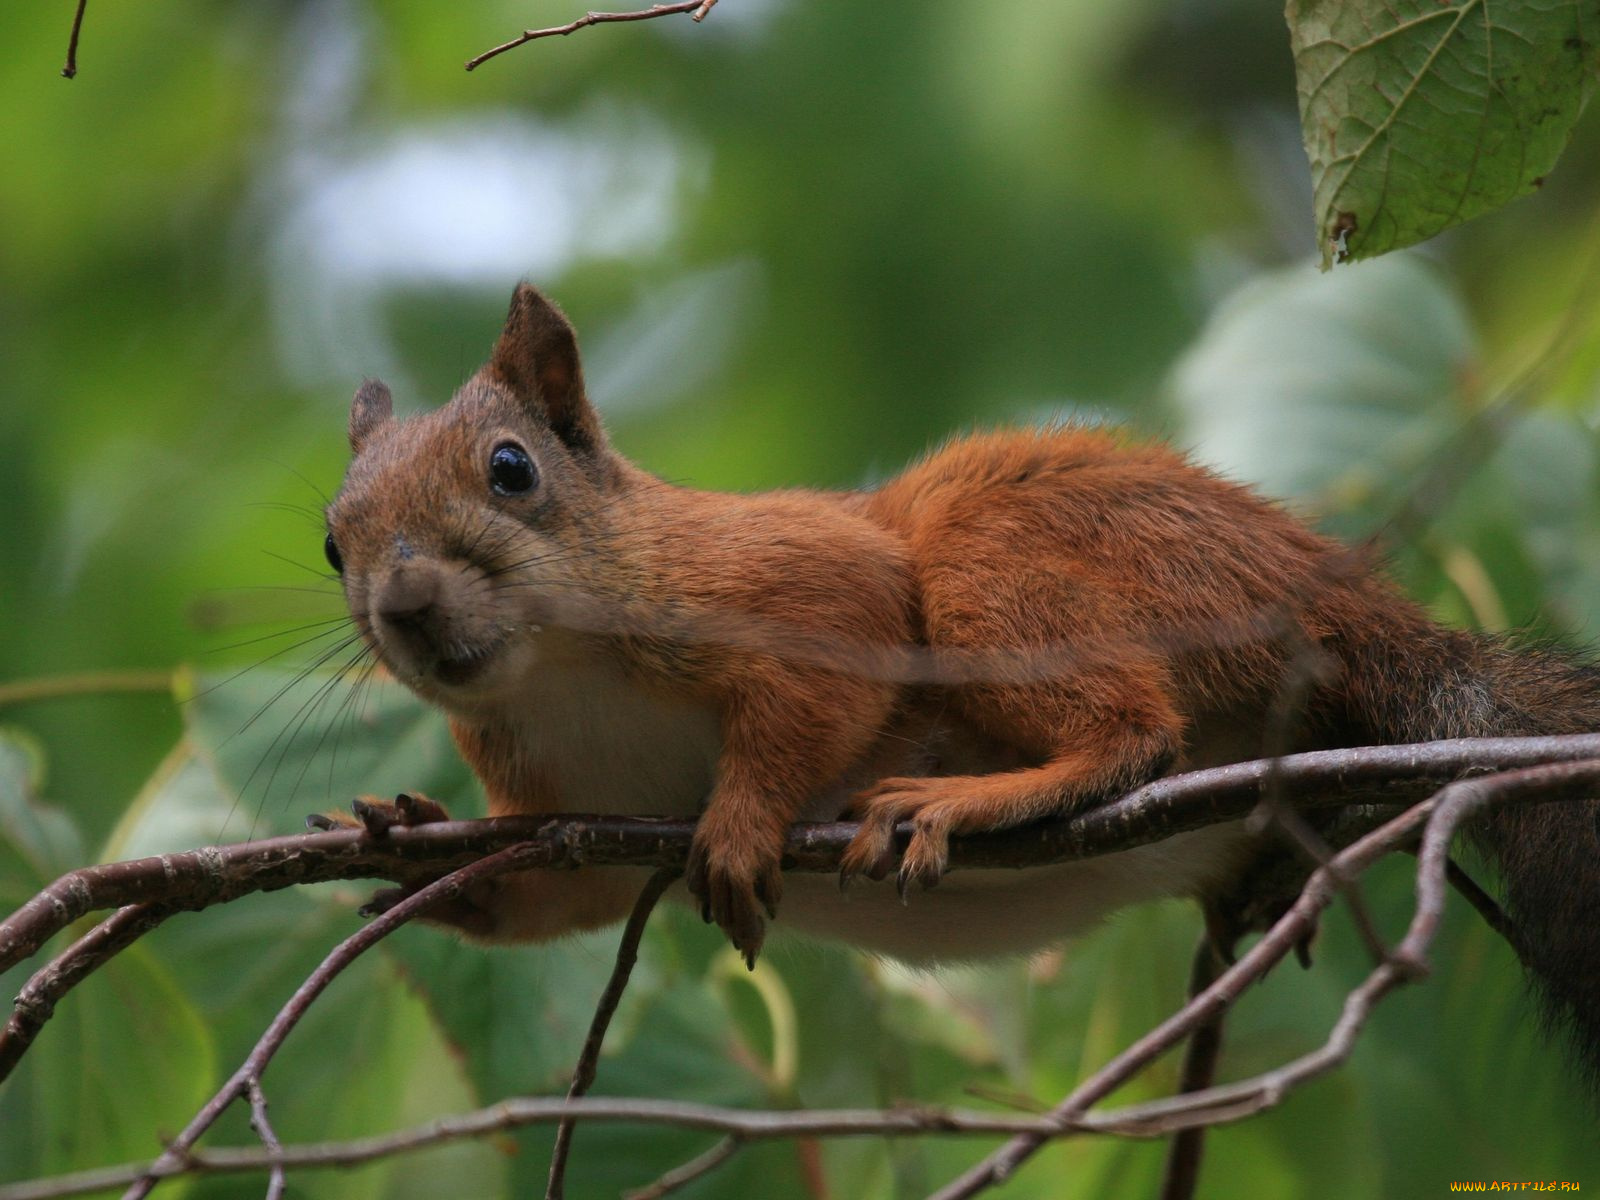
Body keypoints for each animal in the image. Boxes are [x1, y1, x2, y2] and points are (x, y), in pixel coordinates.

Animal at [315, 284, 1600, 1068]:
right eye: (333, 542)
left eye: (512, 470)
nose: (404, 606)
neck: (560, 680)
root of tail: (1335, 598)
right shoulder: (579, 811)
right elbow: (558, 894)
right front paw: (420, 845)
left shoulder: (801, 584)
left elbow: (815, 693)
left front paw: (740, 821)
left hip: (995, 571)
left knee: (1136, 731)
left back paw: (971, 796)